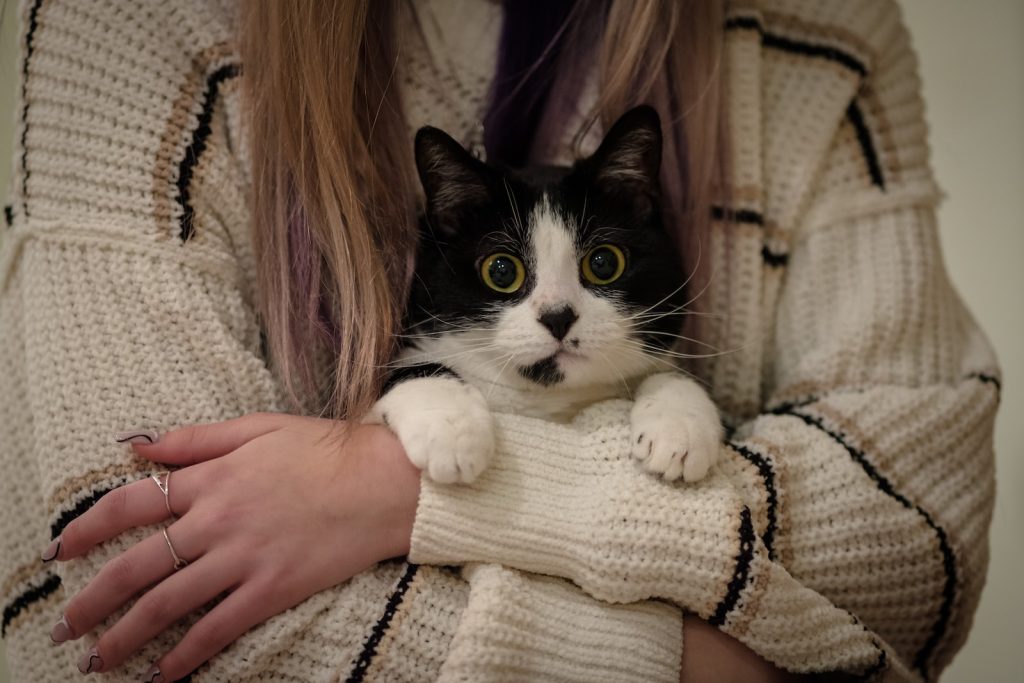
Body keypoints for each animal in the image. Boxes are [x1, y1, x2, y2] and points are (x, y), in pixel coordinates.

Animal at [364, 104, 724, 483]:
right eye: (501, 271)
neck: (546, 401)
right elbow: (408, 368)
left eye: (604, 262)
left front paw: (680, 427)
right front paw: (452, 430)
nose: (558, 317)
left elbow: (667, 373)